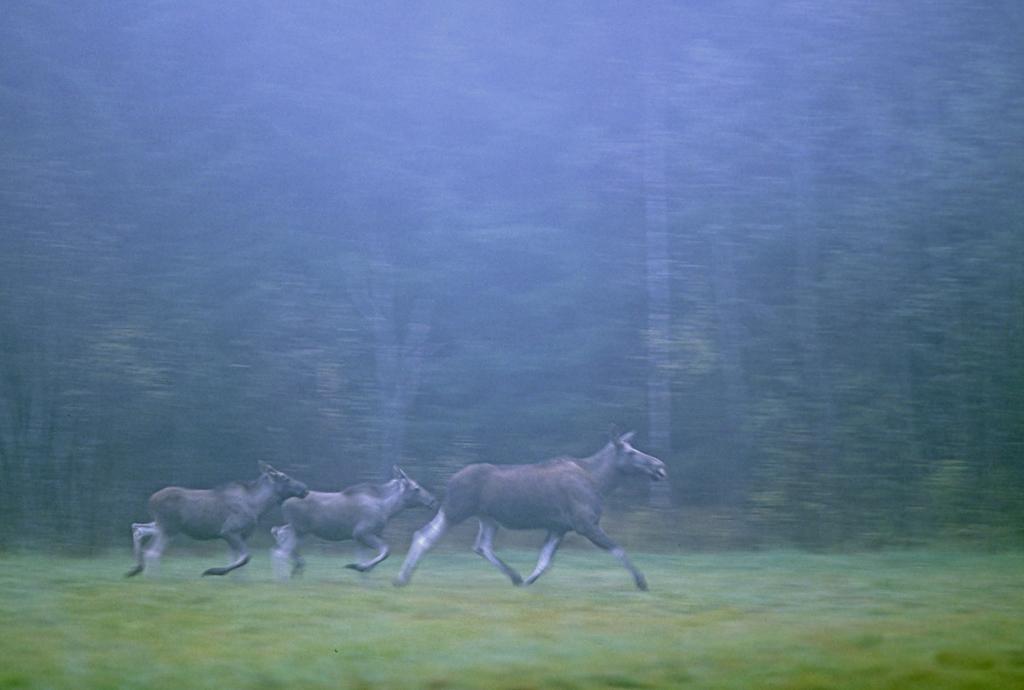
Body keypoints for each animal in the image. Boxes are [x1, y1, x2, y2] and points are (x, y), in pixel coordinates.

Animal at [124, 458, 307, 577]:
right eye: (285, 478)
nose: (304, 488)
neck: (258, 506)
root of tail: (150, 501)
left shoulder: (241, 535)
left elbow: (238, 559)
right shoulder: (228, 531)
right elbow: (245, 558)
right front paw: (213, 571)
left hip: (161, 524)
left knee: (138, 528)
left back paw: (135, 569)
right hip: (169, 527)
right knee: (153, 552)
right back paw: (153, 579)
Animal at [272, 462, 436, 573]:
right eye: (416, 488)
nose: (432, 501)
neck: (388, 508)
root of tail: (283, 502)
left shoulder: (362, 537)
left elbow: (366, 558)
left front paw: (362, 570)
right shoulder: (361, 532)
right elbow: (386, 551)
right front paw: (359, 567)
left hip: (298, 529)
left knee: (278, 532)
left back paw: (297, 567)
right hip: (300, 529)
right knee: (282, 546)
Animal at [395, 429, 667, 585]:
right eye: (631, 453)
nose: (659, 466)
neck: (600, 482)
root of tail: (450, 481)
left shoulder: (559, 527)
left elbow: (544, 561)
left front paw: (528, 581)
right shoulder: (585, 524)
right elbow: (618, 549)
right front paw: (641, 581)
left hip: (487, 518)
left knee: (481, 546)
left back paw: (515, 577)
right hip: (455, 510)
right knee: (424, 536)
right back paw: (401, 578)